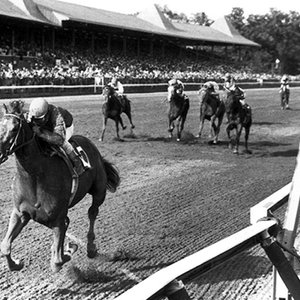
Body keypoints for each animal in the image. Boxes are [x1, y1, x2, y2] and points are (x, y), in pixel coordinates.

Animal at [0, 100, 120, 272]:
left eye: (15, 128)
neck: (35, 177)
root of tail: (92, 146)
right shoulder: (20, 213)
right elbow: (5, 247)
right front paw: (16, 263)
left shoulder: (58, 220)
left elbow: (57, 262)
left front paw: (69, 249)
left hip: (99, 192)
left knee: (92, 213)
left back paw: (91, 248)